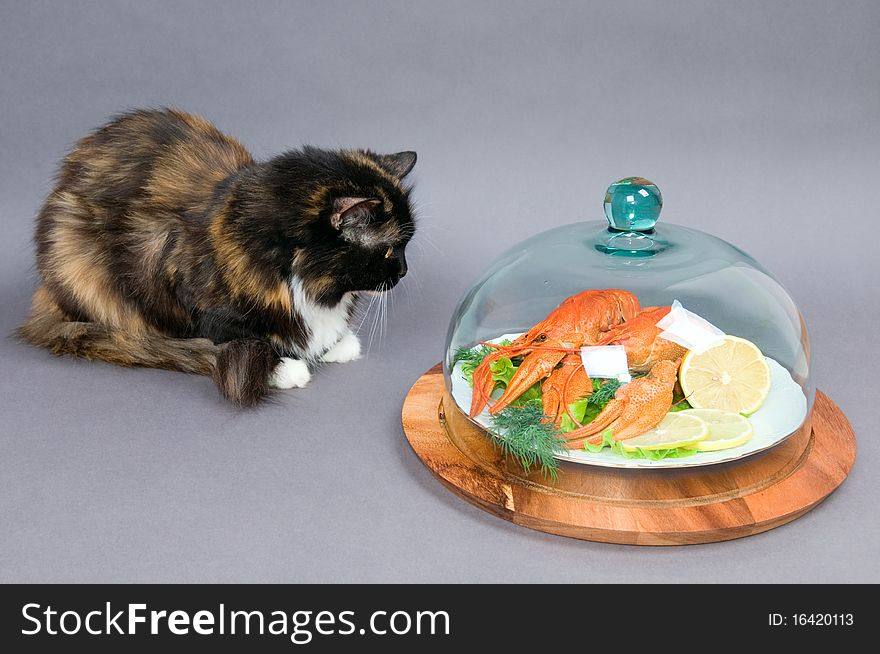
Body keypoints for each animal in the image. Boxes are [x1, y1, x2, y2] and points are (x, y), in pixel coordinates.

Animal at [18, 109, 418, 404]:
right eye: (390, 249)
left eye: (406, 246)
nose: (404, 270)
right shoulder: (190, 289)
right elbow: (236, 336)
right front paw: (287, 368)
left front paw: (337, 344)